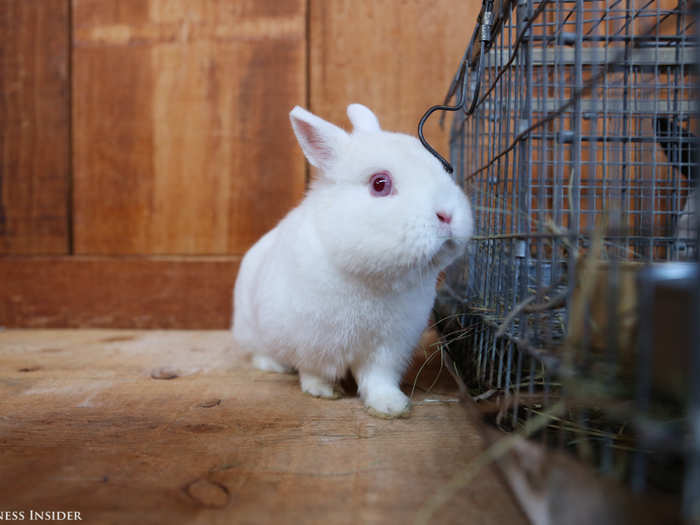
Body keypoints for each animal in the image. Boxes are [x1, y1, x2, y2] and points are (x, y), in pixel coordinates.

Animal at [232, 103, 474, 418]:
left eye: (445, 169)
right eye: (380, 184)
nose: (447, 215)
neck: (372, 278)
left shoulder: (388, 348)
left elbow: (377, 379)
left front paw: (391, 406)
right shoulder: (313, 342)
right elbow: (314, 371)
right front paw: (323, 391)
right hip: (252, 329)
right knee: (260, 352)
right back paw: (273, 365)